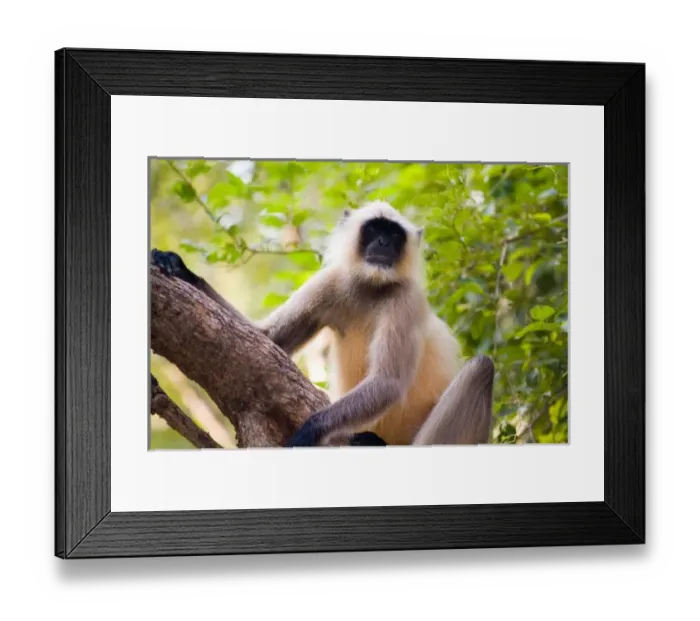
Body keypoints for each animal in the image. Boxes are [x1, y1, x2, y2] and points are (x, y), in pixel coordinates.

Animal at [151, 200, 494, 448]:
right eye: (374, 229)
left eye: (395, 235)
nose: (383, 242)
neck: (371, 288)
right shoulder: (331, 282)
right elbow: (269, 338)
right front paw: (179, 268)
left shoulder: (406, 301)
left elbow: (389, 382)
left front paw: (310, 430)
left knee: (482, 367)